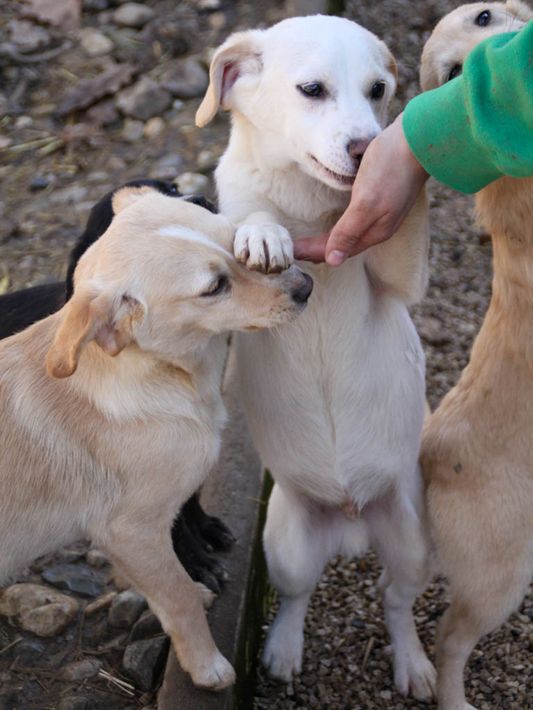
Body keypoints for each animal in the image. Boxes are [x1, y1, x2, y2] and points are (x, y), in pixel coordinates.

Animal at [196, 15, 436, 700]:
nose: (364, 148)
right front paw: (262, 232)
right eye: (311, 89)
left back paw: (413, 665)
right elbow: (247, 219)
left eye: (379, 89)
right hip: (286, 544)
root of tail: (352, 521)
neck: (312, 207)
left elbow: (403, 218)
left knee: (395, 602)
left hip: (412, 542)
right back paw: (281, 650)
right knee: (297, 598)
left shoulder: (401, 277)